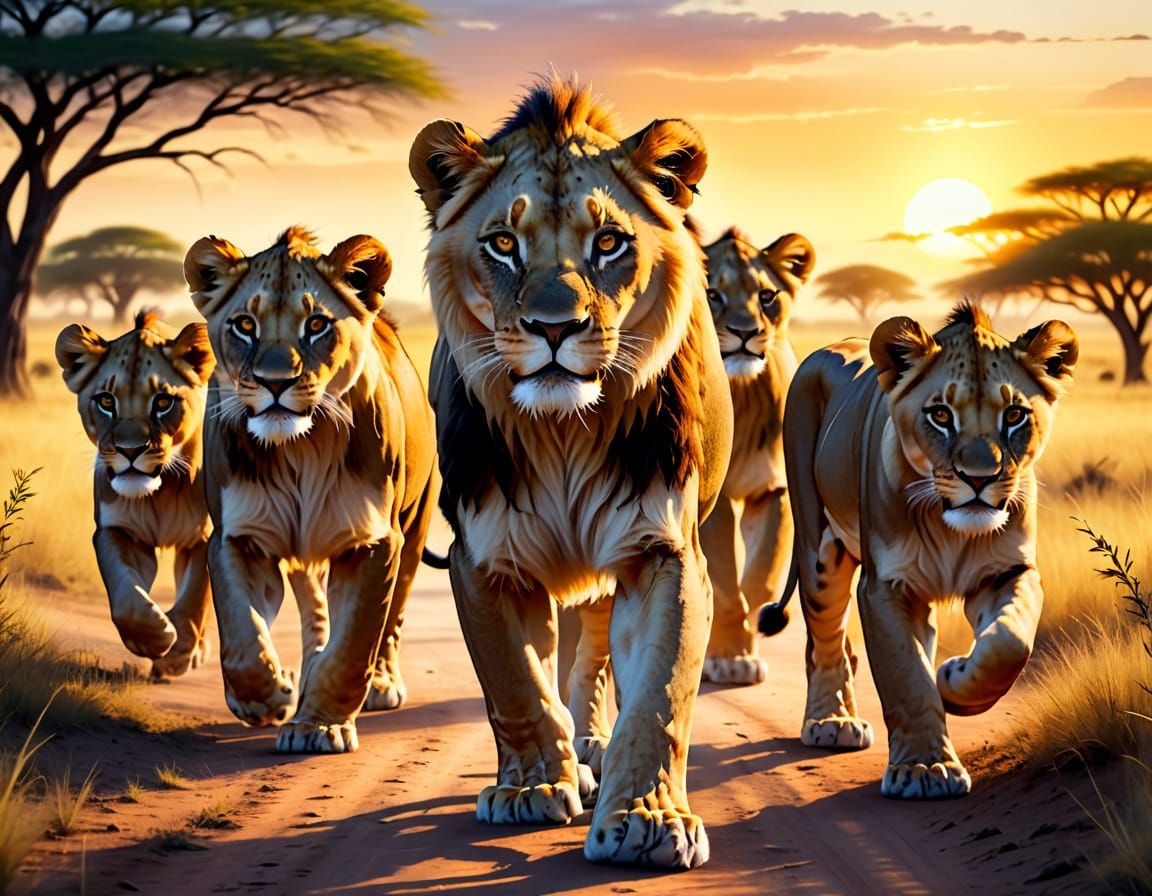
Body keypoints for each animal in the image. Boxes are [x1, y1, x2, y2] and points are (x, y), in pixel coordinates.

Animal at [56, 311, 215, 679]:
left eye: (163, 402)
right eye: (105, 401)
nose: (130, 450)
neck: (160, 493)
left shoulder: (203, 537)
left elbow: (194, 597)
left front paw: (176, 655)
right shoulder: (117, 531)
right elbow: (126, 597)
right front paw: (153, 639)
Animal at [183, 227, 437, 754]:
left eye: (317, 324)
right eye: (244, 325)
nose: (275, 382)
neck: (302, 449)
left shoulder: (374, 541)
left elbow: (354, 644)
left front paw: (319, 726)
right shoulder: (238, 538)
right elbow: (241, 634)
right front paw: (266, 697)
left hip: (414, 530)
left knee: (392, 619)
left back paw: (380, 684)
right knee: (315, 608)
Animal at [409, 77, 733, 868]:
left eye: (609, 242)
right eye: (503, 243)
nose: (555, 327)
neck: (561, 434)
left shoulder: (662, 551)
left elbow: (658, 695)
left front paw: (648, 820)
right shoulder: (484, 560)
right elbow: (515, 682)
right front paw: (531, 789)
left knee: (593, 656)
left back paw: (593, 747)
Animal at [698, 227, 815, 685]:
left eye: (766, 296)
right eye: (713, 294)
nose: (745, 332)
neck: (741, 395)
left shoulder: (773, 489)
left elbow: (759, 576)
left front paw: (752, 633)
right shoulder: (710, 501)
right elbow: (726, 582)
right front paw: (730, 657)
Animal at [758, 303, 1076, 798]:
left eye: (1014, 415)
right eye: (941, 415)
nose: (979, 478)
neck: (950, 529)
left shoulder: (1009, 572)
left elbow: (1008, 643)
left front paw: (955, 682)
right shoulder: (884, 586)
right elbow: (904, 673)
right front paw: (925, 767)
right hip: (818, 548)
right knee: (825, 640)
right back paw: (832, 722)